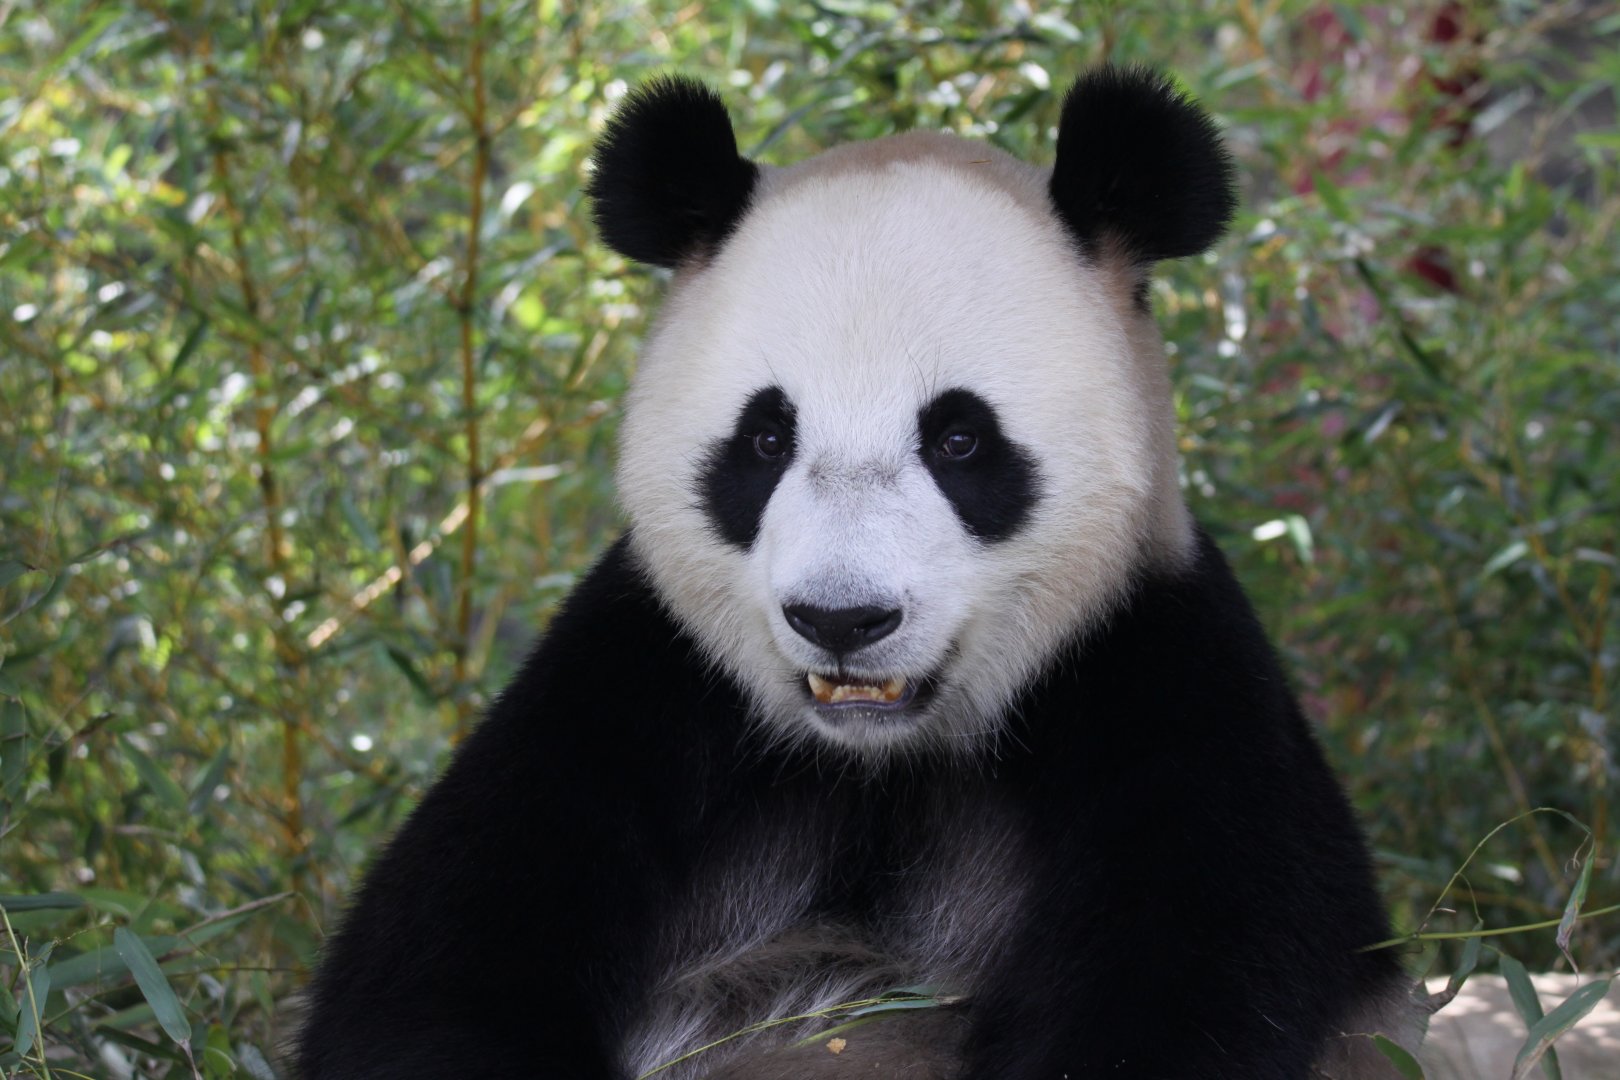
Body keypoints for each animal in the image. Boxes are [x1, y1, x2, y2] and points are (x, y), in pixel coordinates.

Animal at [293, 68, 1424, 1079]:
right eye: (765, 438)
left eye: (960, 440)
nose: (842, 620)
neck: (880, 764)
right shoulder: (633, 688)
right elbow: (433, 970)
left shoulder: (1160, 680)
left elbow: (1179, 993)